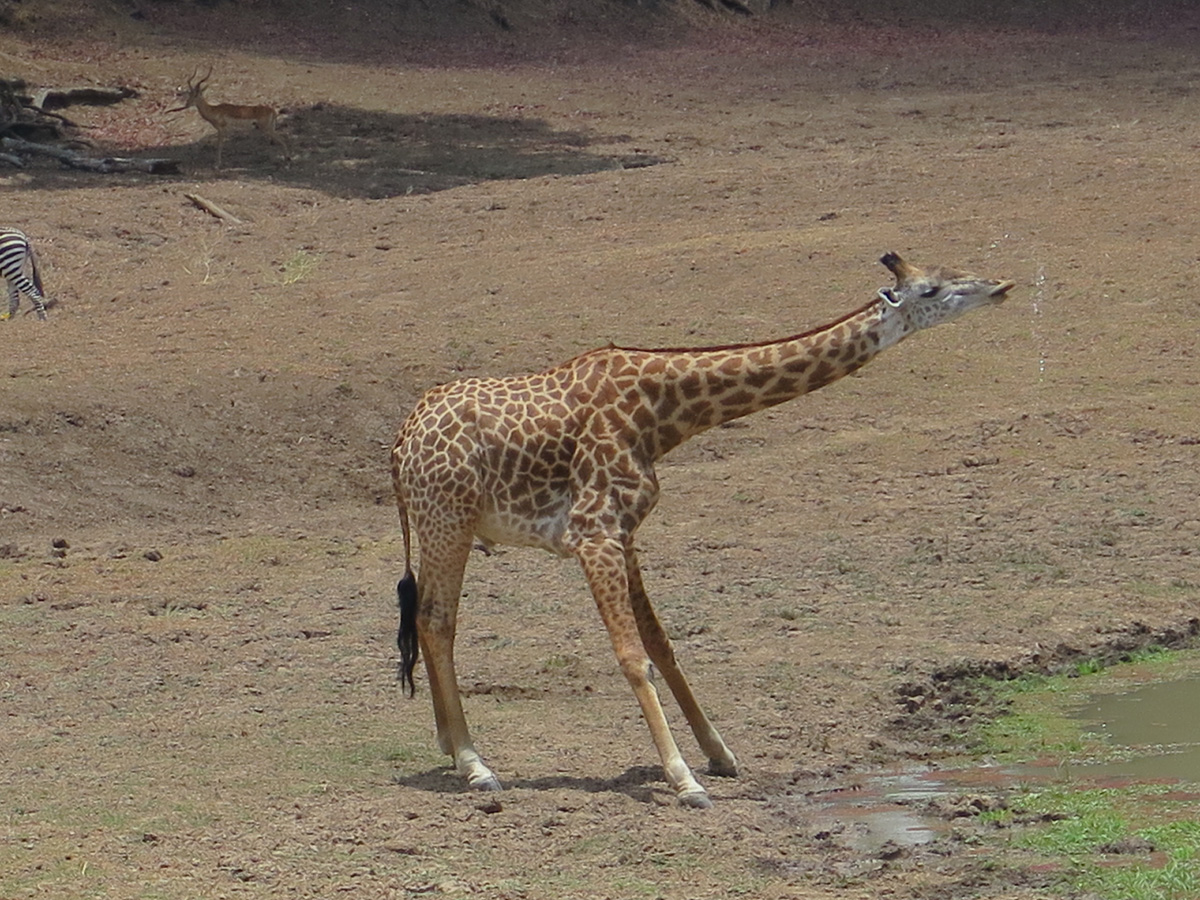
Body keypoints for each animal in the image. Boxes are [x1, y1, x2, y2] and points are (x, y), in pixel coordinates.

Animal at [390, 251, 1014, 808]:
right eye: (931, 289)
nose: (1002, 286)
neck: (665, 412)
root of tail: (399, 445)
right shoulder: (595, 533)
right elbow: (632, 655)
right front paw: (685, 780)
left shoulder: (626, 533)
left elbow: (662, 646)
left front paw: (720, 755)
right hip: (447, 520)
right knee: (437, 620)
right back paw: (476, 765)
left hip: (444, 524)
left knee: (425, 617)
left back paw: (449, 746)